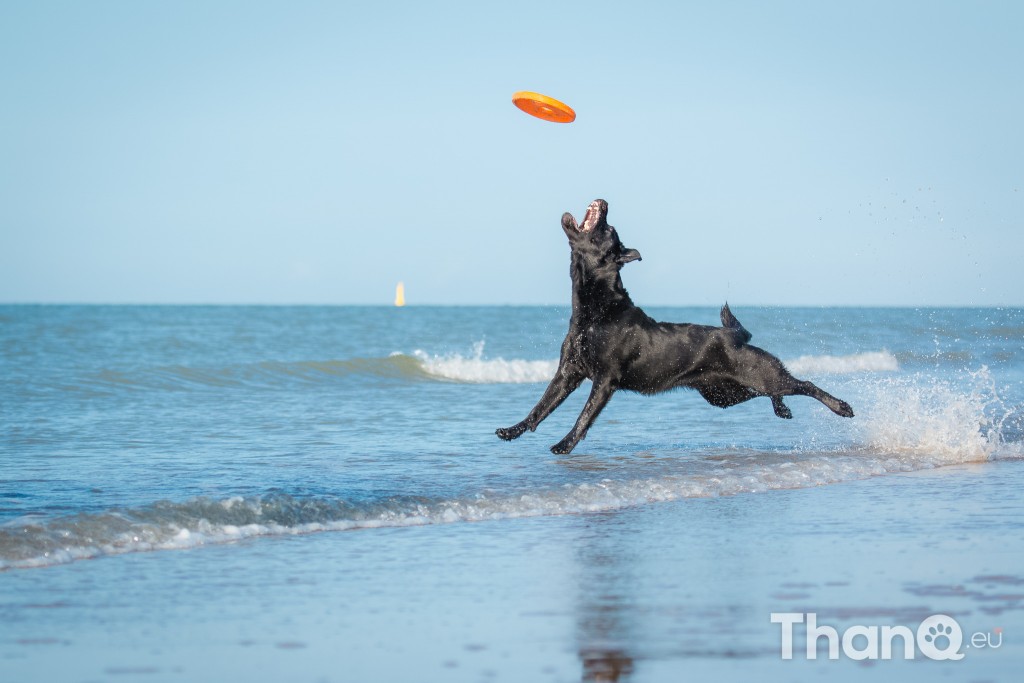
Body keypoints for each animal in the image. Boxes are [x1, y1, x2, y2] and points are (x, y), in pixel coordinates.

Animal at [495, 198, 856, 454]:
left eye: (609, 231)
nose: (606, 202)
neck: (596, 310)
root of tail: (733, 335)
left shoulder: (605, 379)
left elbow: (583, 416)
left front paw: (565, 444)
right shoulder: (568, 372)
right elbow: (540, 406)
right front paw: (512, 431)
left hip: (759, 373)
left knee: (803, 383)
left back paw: (842, 407)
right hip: (724, 394)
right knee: (775, 391)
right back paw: (783, 409)